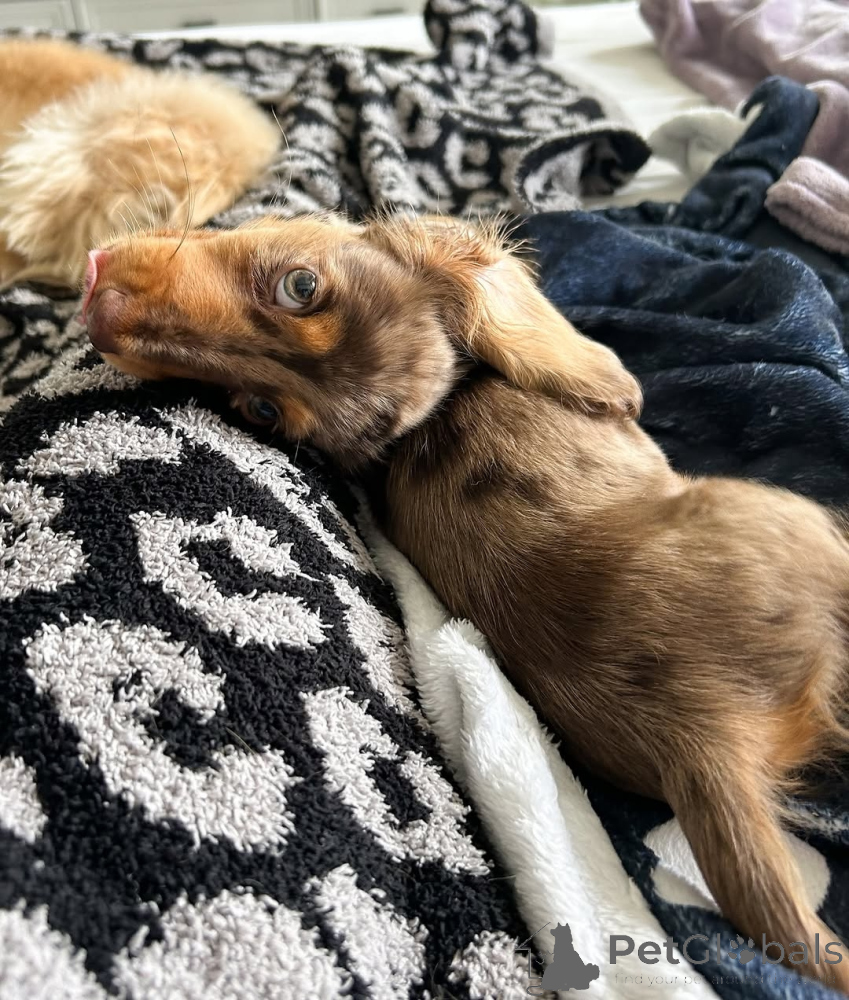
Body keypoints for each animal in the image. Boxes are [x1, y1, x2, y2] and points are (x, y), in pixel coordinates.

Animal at [81, 212, 849, 991]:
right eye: (259, 407)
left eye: (299, 287)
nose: (98, 309)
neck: (450, 397)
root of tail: (697, 735)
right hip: (791, 518)